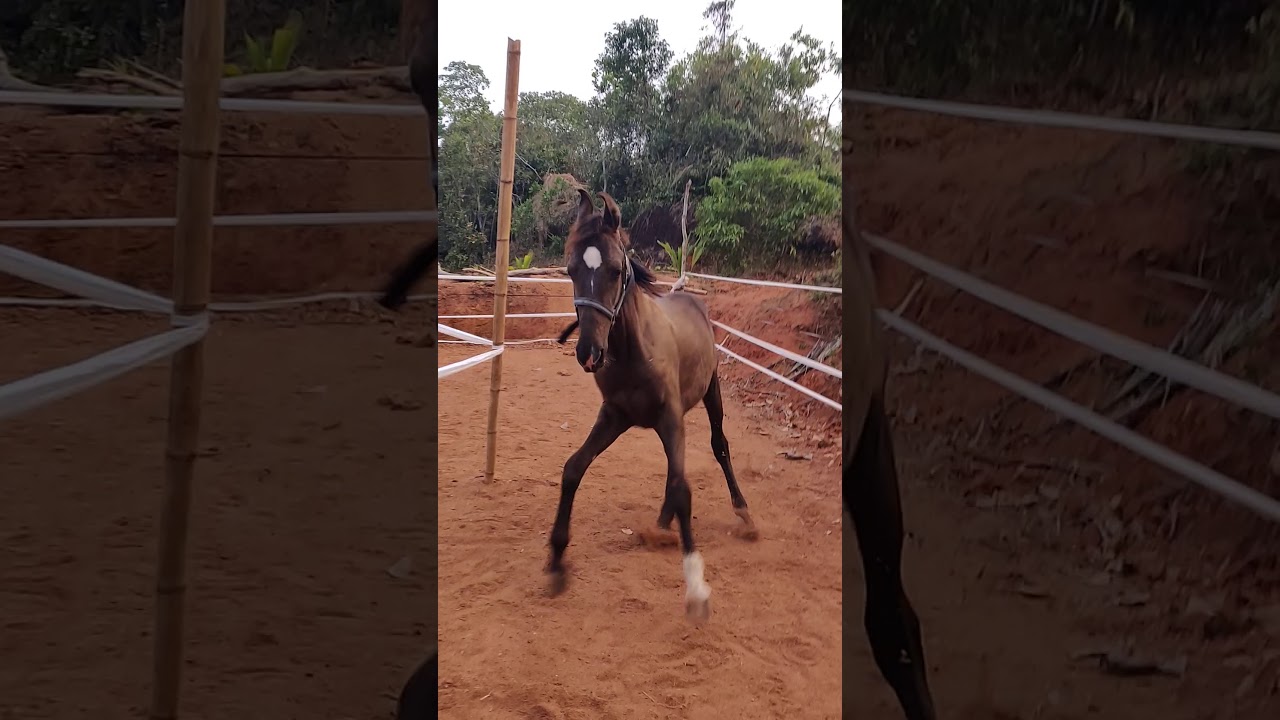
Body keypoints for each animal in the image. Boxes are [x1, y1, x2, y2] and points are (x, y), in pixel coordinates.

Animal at [548, 188, 757, 622]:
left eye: (615, 270)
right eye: (570, 269)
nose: (588, 353)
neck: (633, 351)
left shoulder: (670, 417)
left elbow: (683, 488)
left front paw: (696, 590)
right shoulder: (614, 416)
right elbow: (573, 468)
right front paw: (557, 562)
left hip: (711, 392)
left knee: (719, 446)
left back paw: (743, 513)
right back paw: (661, 527)